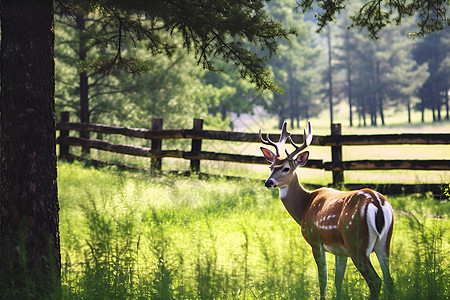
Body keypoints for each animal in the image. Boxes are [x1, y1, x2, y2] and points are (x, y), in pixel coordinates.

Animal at [260, 122, 394, 300]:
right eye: (271, 167)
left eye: (286, 168)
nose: (268, 182)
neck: (304, 206)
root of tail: (377, 203)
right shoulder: (340, 251)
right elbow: (338, 281)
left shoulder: (315, 241)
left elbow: (323, 279)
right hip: (384, 242)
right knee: (389, 280)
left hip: (356, 241)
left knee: (375, 281)